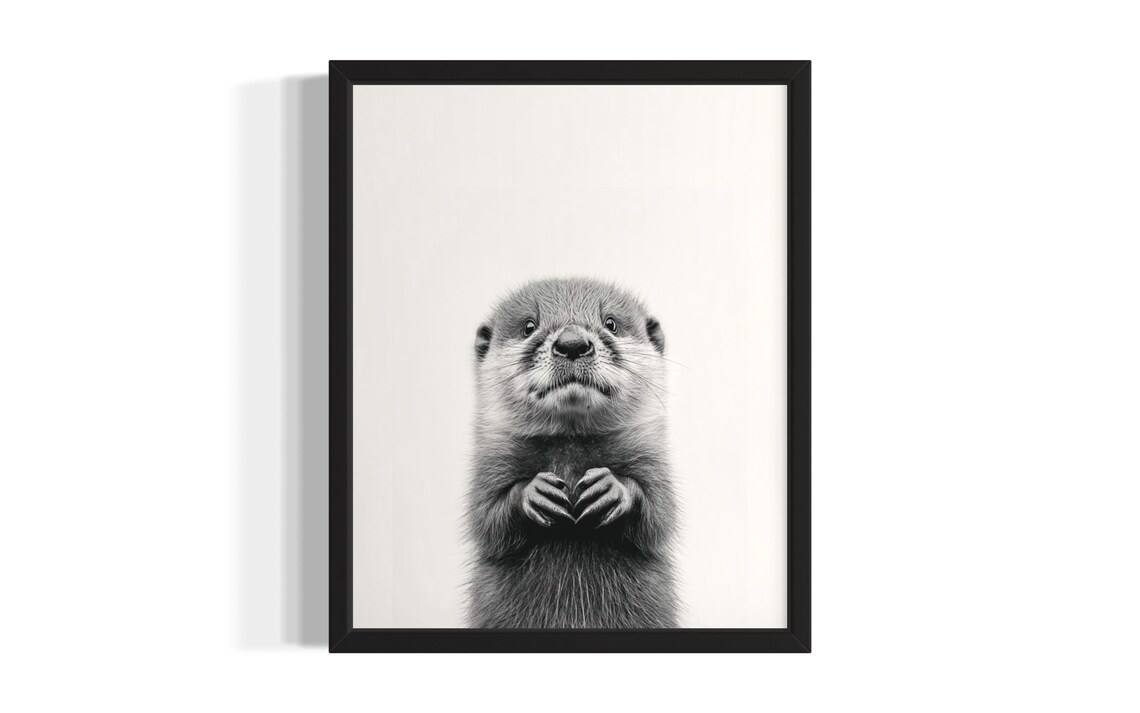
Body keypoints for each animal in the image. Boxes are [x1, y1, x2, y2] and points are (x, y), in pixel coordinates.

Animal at [466, 277, 678, 628]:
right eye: (529, 326)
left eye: (611, 323)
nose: (572, 343)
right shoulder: (490, 468)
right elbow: (488, 522)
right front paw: (534, 493)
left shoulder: (653, 462)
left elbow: (659, 517)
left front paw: (611, 489)